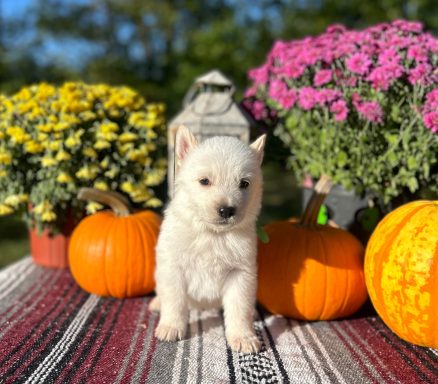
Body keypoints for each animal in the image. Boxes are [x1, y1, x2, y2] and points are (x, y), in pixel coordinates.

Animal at [151, 126, 266, 354]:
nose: (226, 210)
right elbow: (174, 300)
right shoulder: (173, 267)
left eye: (244, 183)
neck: (212, 235)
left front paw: (243, 336)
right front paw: (171, 326)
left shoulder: (241, 273)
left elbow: (239, 308)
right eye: (204, 181)